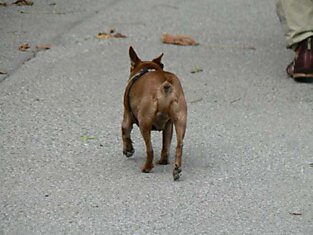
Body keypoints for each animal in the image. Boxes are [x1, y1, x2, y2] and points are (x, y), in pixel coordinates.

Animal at [120, 46, 186, 180]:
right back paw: (175, 169)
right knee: (179, 145)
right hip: (180, 120)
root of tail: (165, 84)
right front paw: (163, 161)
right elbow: (166, 145)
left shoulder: (127, 118)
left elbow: (125, 133)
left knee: (149, 149)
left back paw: (147, 168)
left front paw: (128, 150)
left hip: (144, 123)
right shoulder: (169, 126)